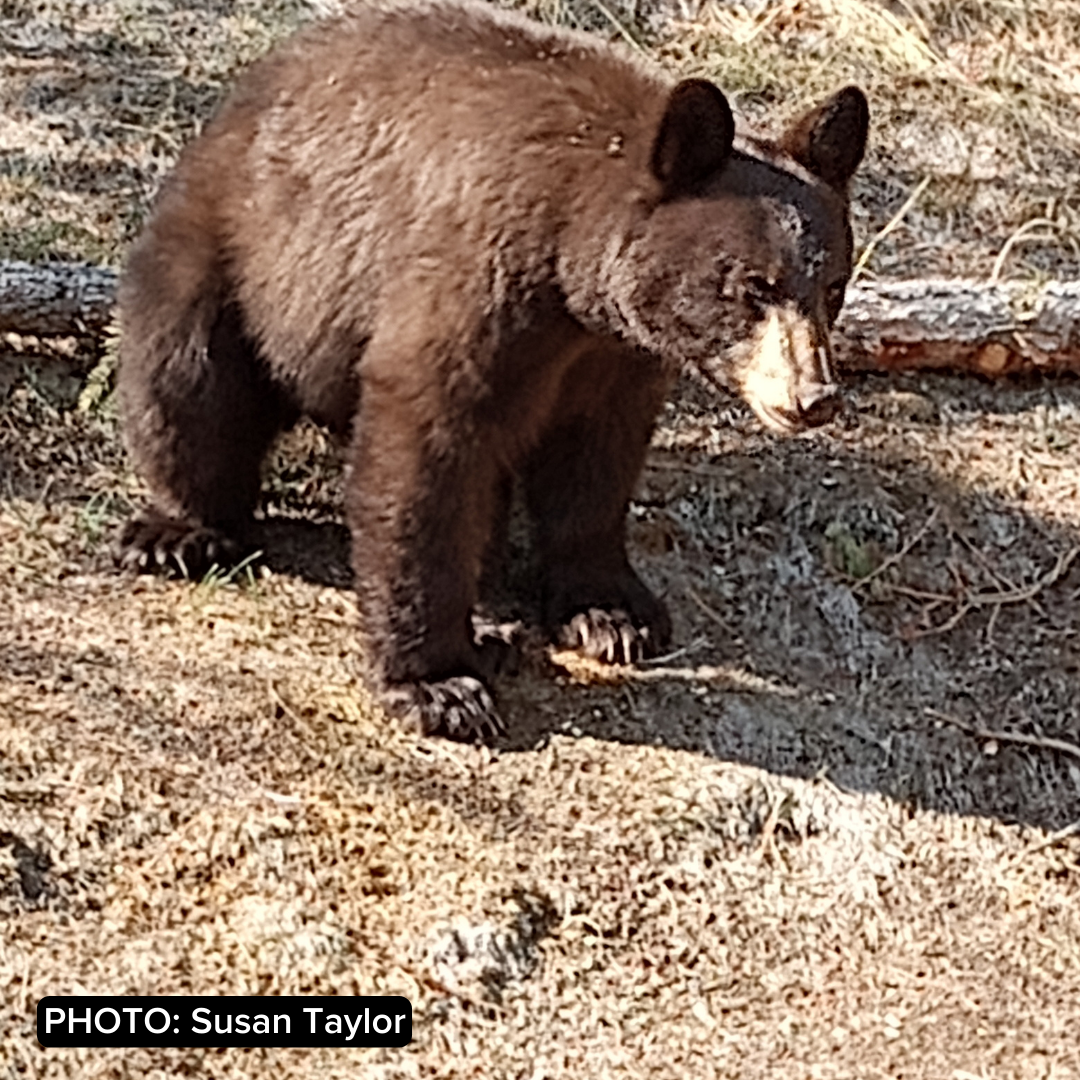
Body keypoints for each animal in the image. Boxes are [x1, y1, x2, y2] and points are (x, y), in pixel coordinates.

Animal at [115, 0, 869, 741]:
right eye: (754, 287)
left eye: (833, 285)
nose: (813, 395)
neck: (571, 268)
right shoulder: (478, 289)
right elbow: (426, 456)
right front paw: (438, 685)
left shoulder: (612, 361)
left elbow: (595, 464)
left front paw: (612, 612)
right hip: (241, 252)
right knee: (189, 382)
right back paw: (178, 532)